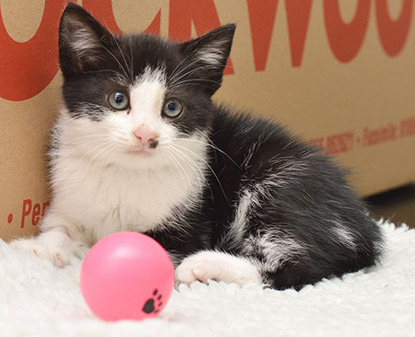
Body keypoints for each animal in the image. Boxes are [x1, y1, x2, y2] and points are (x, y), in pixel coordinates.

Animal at [12, 3, 384, 288]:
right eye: (118, 99)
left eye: (172, 107)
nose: (145, 135)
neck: (126, 174)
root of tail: (361, 225)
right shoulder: (69, 198)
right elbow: (60, 226)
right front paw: (40, 249)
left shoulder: (189, 227)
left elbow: (147, 245)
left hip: (277, 180)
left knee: (298, 267)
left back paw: (204, 265)